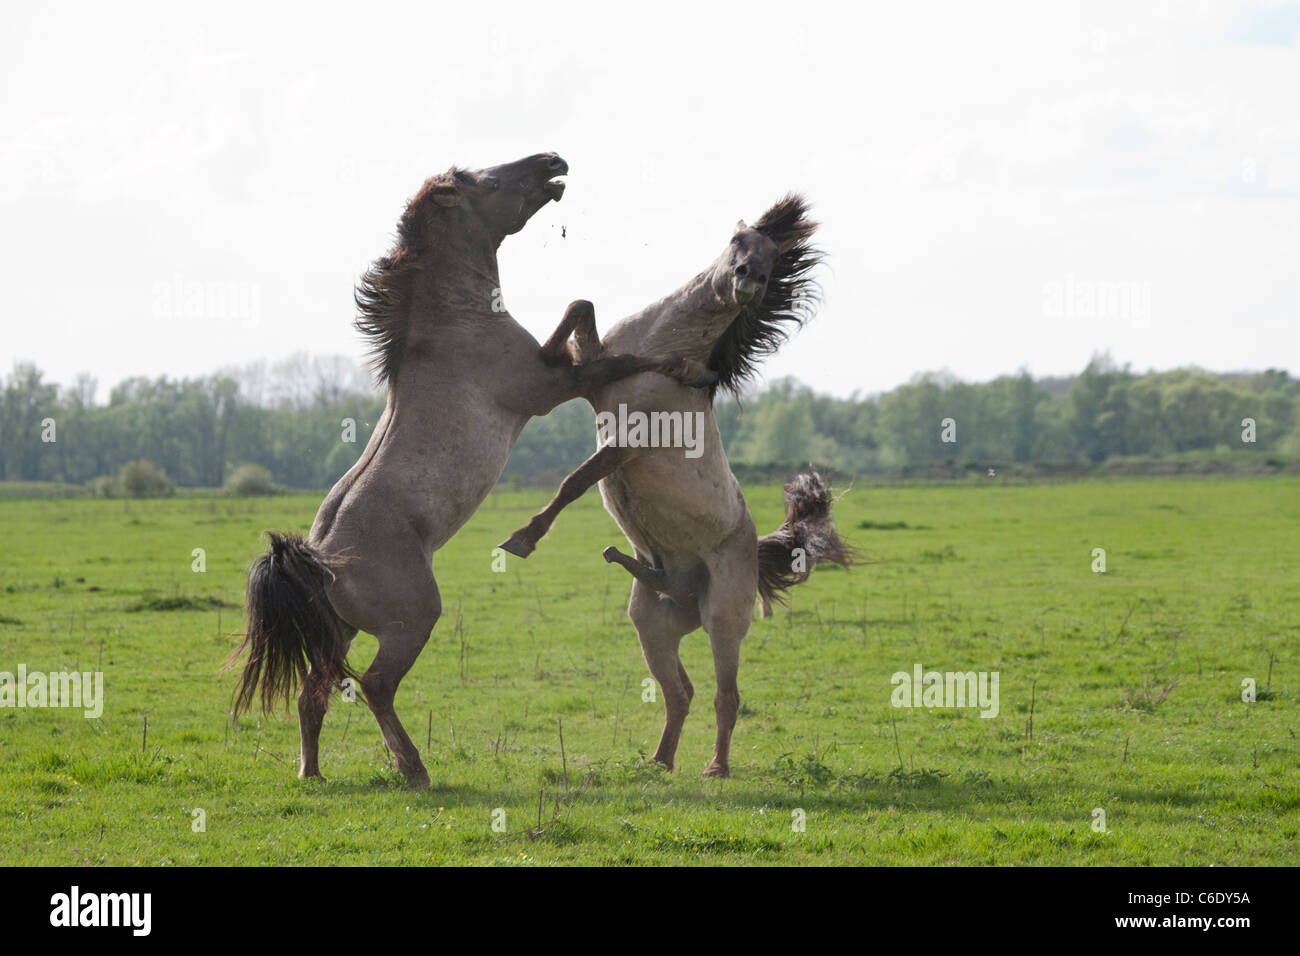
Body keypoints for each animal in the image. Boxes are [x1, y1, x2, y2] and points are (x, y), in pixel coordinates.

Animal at [224, 153, 717, 790]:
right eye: (487, 180)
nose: (553, 162)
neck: (456, 325)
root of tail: (319, 559)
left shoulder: (551, 369)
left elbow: (580, 313)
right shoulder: (546, 390)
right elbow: (613, 354)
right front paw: (691, 370)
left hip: (342, 632)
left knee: (315, 692)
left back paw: (313, 773)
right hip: (411, 622)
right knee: (375, 686)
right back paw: (414, 769)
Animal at [496, 195, 852, 780]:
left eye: (775, 256)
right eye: (737, 241)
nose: (750, 280)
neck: (668, 340)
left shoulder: (628, 440)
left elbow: (575, 481)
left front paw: (523, 538)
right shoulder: (598, 380)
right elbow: (581, 306)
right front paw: (549, 349)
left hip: (723, 621)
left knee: (726, 695)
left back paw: (716, 767)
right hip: (653, 627)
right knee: (680, 693)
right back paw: (660, 760)